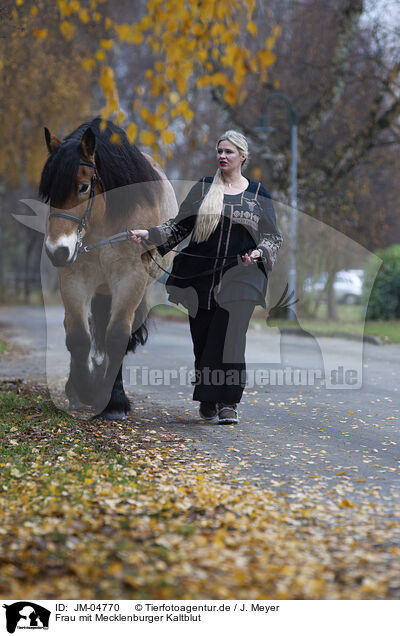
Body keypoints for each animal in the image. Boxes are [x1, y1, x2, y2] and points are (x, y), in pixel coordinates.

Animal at [39, 117, 176, 420]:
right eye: (49, 190)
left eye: (83, 187)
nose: (57, 251)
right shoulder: (74, 278)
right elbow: (78, 337)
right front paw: (83, 389)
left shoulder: (130, 279)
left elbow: (116, 337)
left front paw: (112, 401)